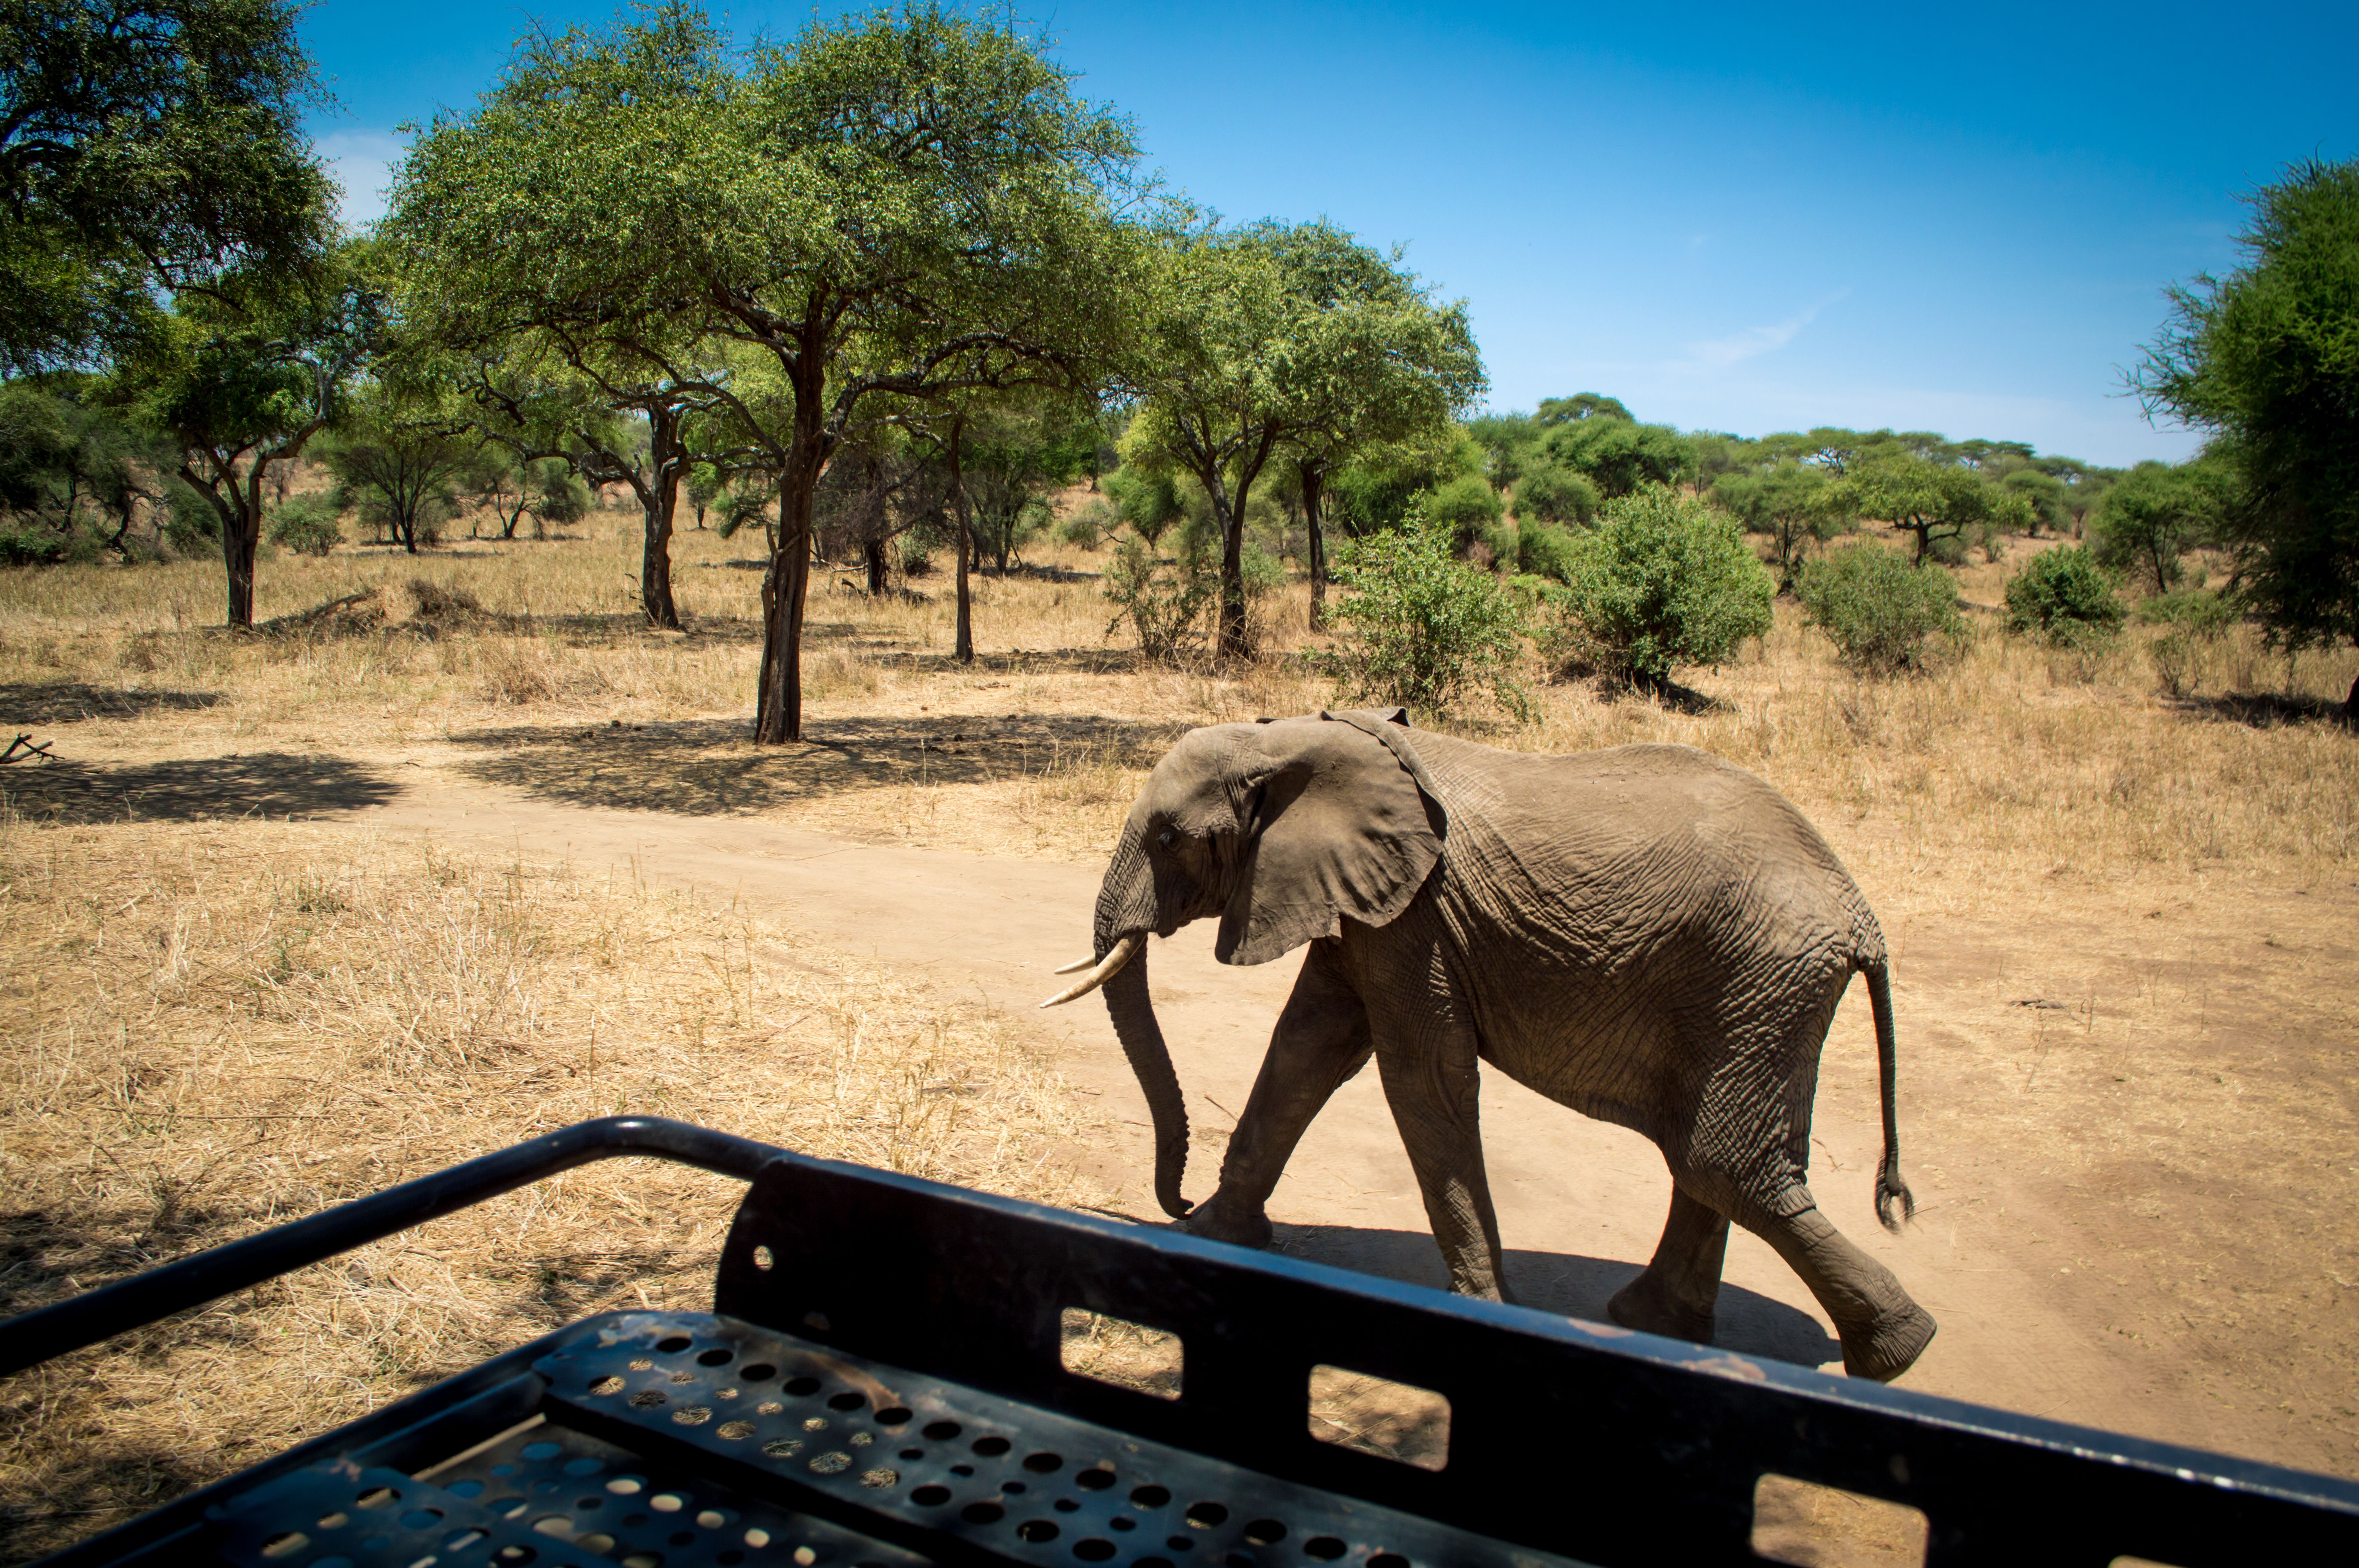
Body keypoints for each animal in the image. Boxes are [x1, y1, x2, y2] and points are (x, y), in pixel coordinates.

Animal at [1052, 707, 1934, 1386]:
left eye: (1168, 838)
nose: (1175, 1200)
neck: (1298, 736)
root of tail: (1861, 915)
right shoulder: (1364, 903)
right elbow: (1309, 1046)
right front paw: (1213, 1239)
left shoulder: (1416, 917)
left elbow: (1420, 1076)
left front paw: (1481, 1310)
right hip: (1761, 995)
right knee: (1706, 1157)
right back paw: (1657, 1324)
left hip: (1759, 981)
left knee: (1723, 1163)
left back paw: (1896, 1354)